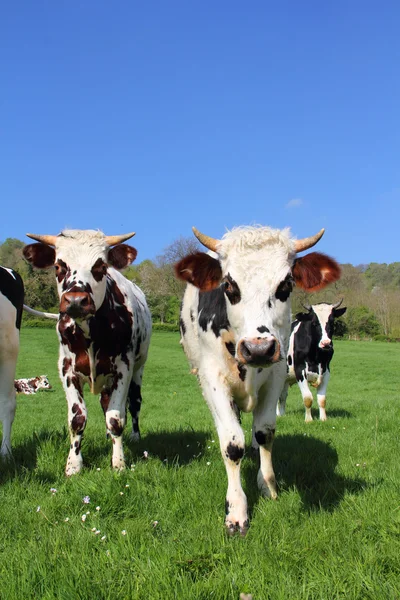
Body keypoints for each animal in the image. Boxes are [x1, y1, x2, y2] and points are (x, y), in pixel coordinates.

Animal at [23, 229, 152, 474]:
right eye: (58, 266)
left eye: (100, 266)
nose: (75, 300)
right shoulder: (67, 370)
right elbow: (78, 419)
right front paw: (73, 465)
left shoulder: (124, 368)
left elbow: (116, 418)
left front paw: (118, 462)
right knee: (104, 403)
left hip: (138, 370)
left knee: (134, 403)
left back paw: (134, 436)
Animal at [175, 225, 340, 536]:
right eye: (229, 285)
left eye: (286, 284)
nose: (259, 348)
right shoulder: (213, 380)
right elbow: (232, 443)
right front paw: (237, 510)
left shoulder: (276, 375)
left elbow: (265, 432)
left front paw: (268, 486)